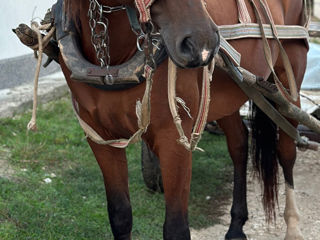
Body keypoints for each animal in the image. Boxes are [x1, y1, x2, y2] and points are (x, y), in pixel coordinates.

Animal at [57, 0, 308, 240]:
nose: (204, 44)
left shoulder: (174, 140)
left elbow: (176, 228)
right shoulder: (101, 139)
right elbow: (120, 216)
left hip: (289, 79)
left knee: (287, 150)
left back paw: (293, 226)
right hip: (225, 95)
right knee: (238, 145)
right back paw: (236, 226)